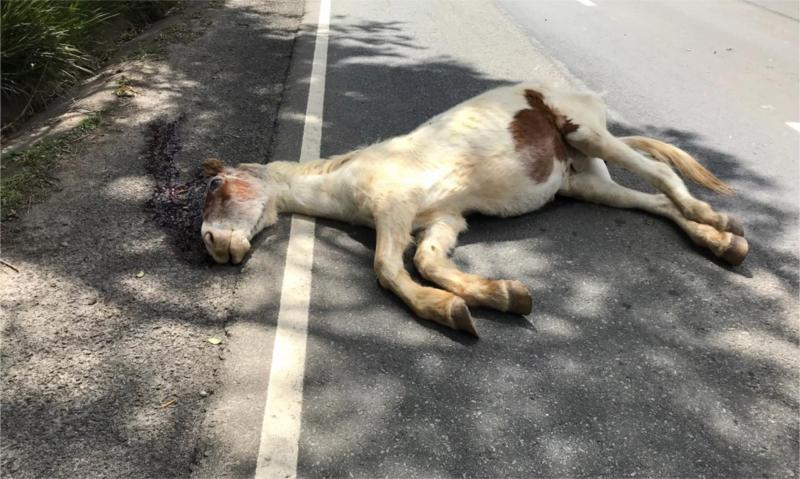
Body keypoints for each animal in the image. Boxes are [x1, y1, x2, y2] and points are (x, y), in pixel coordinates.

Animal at [197, 81, 748, 338]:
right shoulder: (443, 220)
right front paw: (498, 296)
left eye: (218, 187)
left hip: (589, 135)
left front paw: (443, 309)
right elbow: (429, 262)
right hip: (586, 182)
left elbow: (388, 269)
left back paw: (720, 221)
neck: (348, 180)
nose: (212, 244)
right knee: (656, 202)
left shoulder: (396, 209)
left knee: (663, 177)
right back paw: (722, 243)